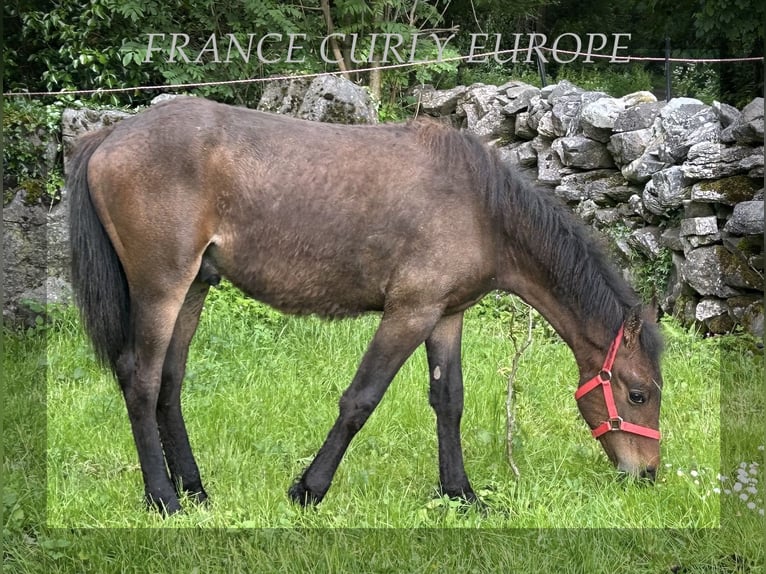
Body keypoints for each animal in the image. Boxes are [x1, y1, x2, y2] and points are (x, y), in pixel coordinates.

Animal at [69, 95, 664, 516]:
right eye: (637, 394)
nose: (649, 474)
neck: (482, 208)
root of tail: (108, 136)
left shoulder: (445, 316)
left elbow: (449, 401)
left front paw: (460, 494)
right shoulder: (409, 313)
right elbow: (360, 400)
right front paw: (309, 489)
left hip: (194, 287)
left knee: (169, 384)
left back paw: (193, 490)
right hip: (161, 288)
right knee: (141, 380)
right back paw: (163, 499)